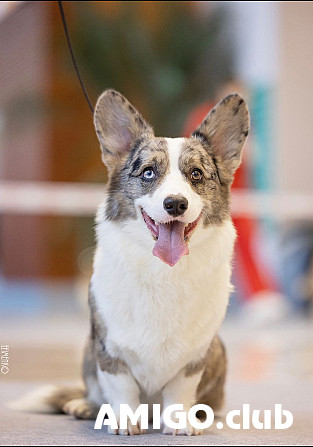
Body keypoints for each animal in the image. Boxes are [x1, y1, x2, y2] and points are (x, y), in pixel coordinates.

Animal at [15, 89, 249, 436]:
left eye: (196, 174)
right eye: (149, 172)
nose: (175, 204)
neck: (163, 272)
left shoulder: (194, 358)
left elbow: (180, 391)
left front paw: (180, 423)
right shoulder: (110, 351)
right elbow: (122, 389)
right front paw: (125, 421)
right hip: (88, 350)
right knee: (94, 392)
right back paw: (86, 406)